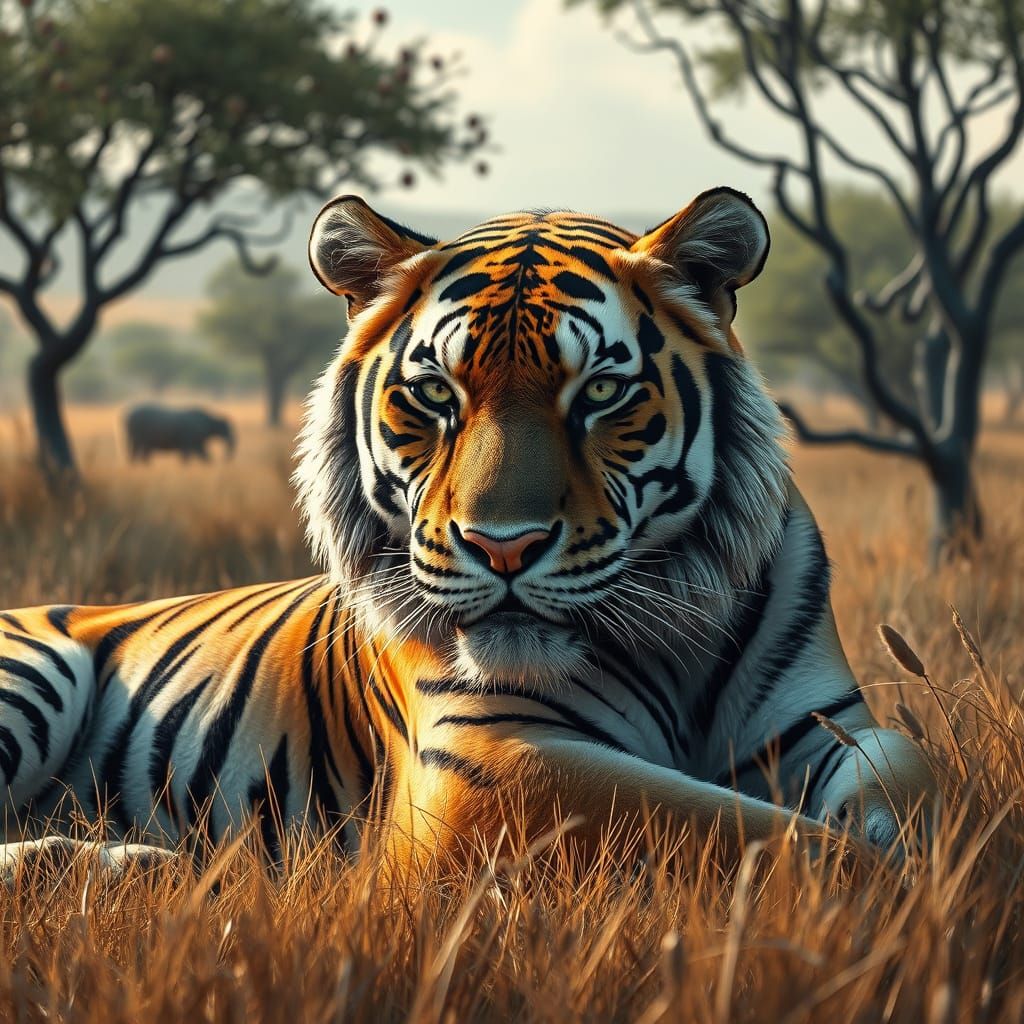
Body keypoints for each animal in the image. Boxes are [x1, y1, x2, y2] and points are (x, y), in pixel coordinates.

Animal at [0, 187, 933, 877]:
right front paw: (888, 892)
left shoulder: (822, 723)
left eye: (600, 392)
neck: (675, 641)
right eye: (434, 394)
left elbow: (913, 775)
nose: (503, 547)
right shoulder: (499, 757)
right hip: (36, 674)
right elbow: (762, 834)